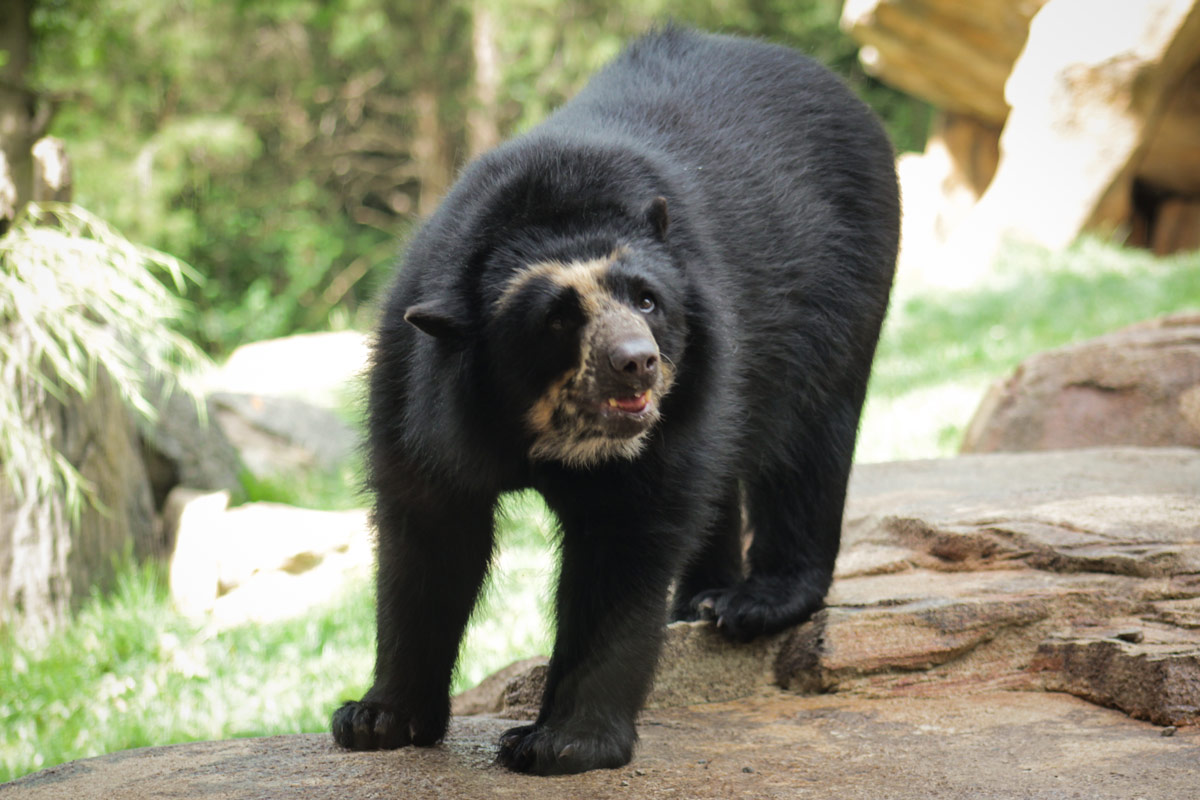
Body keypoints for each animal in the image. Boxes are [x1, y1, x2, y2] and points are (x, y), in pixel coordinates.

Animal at [333, 26, 897, 777]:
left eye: (648, 299)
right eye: (557, 320)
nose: (637, 364)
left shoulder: (680, 402)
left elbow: (624, 544)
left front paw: (561, 742)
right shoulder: (414, 388)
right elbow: (428, 536)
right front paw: (375, 719)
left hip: (841, 289)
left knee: (808, 439)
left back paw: (752, 602)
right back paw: (699, 597)